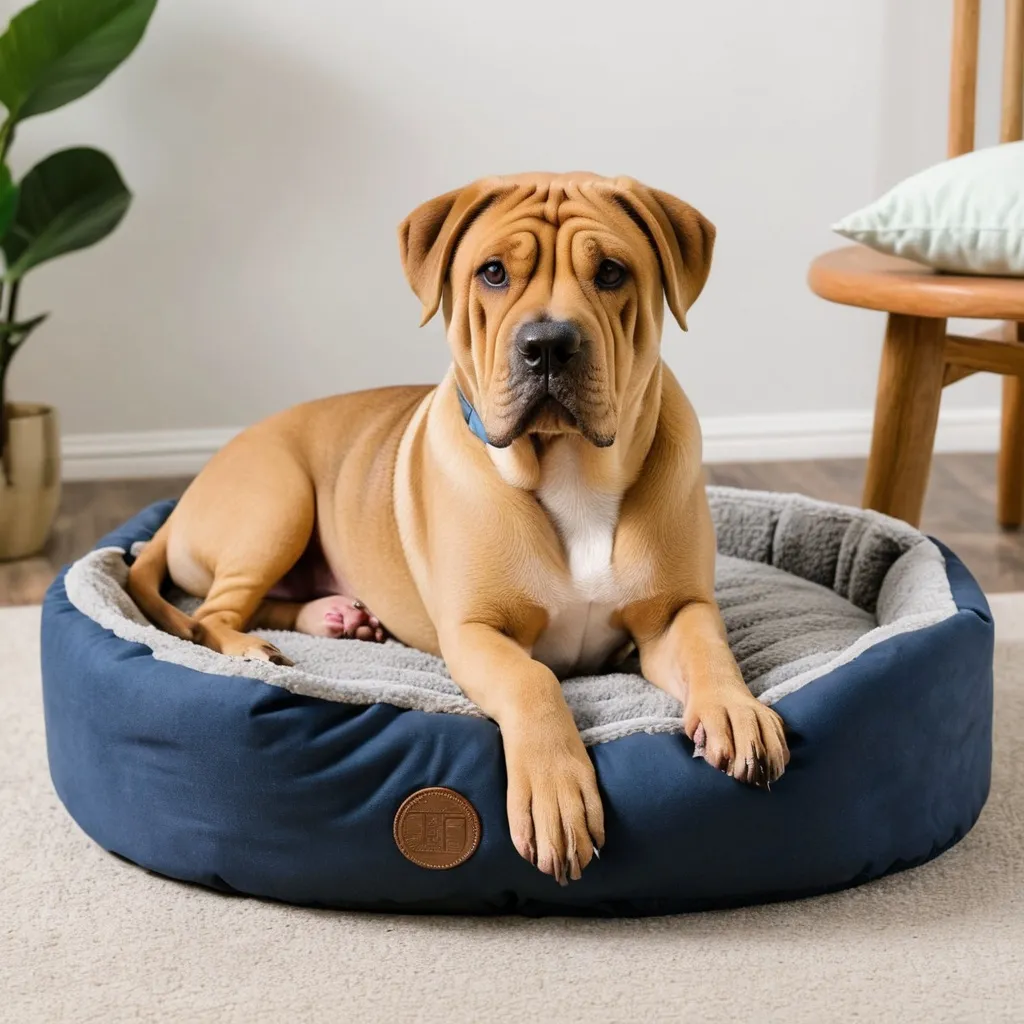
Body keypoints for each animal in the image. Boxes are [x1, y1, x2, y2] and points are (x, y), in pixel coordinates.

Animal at [130, 172, 790, 884]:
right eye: (493, 273)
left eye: (612, 272)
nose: (548, 343)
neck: (570, 468)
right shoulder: (475, 632)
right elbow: (533, 682)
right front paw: (556, 791)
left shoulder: (671, 614)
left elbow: (708, 646)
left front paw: (736, 710)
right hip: (276, 502)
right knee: (213, 614)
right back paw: (255, 651)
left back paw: (337, 618)